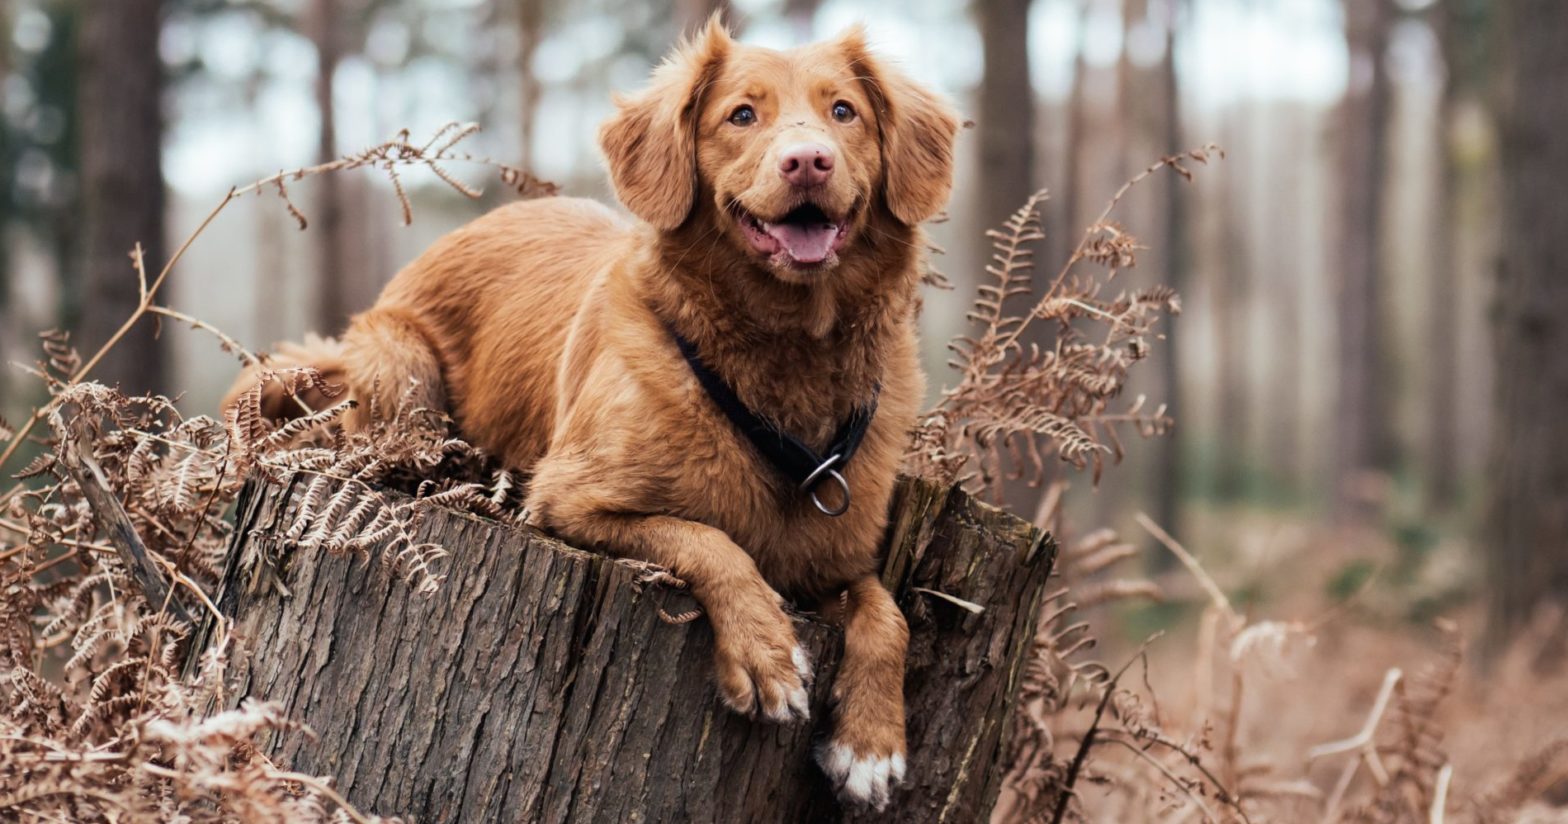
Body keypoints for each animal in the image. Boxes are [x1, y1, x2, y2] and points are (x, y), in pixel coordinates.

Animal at [221, 20, 953, 814]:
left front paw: (872, 744)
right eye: (742, 115)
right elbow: (710, 540)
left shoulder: (838, 558)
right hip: (399, 367)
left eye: (843, 111)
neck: (784, 361)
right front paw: (765, 651)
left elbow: (888, 613)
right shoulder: (568, 500)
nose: (809, 161)